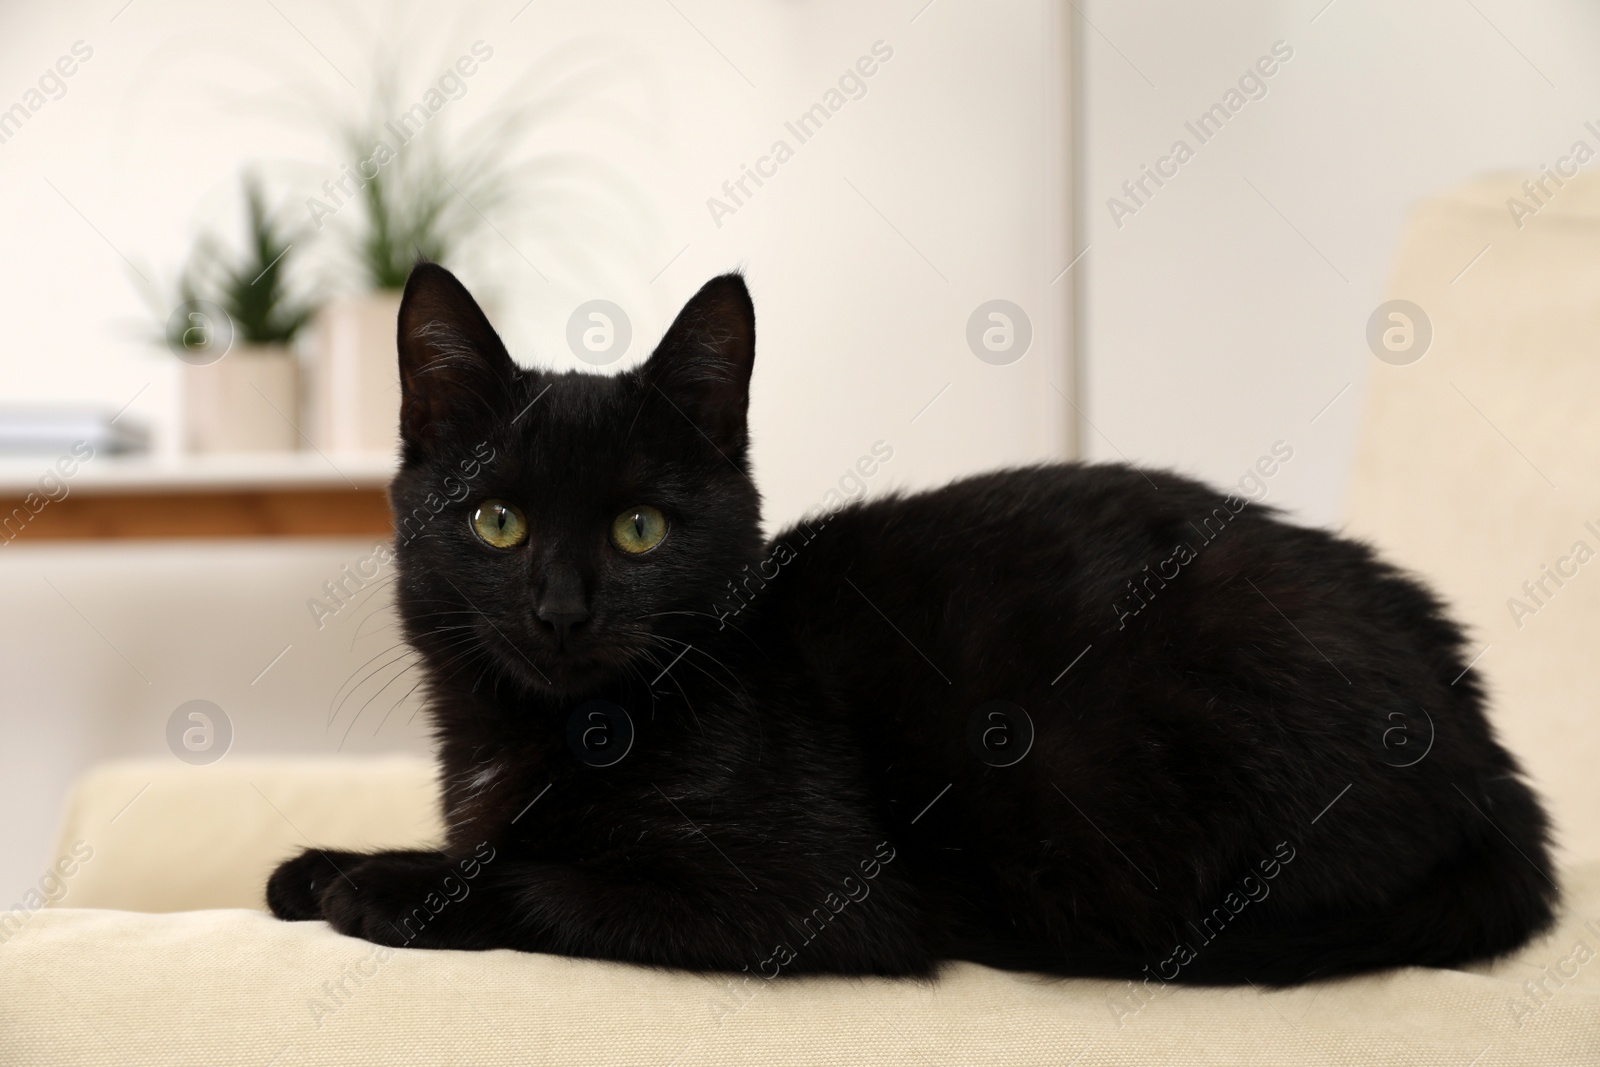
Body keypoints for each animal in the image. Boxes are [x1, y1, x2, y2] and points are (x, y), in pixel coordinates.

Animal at [268, 265, 1555, 985]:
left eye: (638, 529)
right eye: (496, 521)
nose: (560, 606)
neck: (552, 729)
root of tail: (1492, 765)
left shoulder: (816, 894)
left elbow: (555, 878)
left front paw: (389, 886)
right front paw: (321, 861)